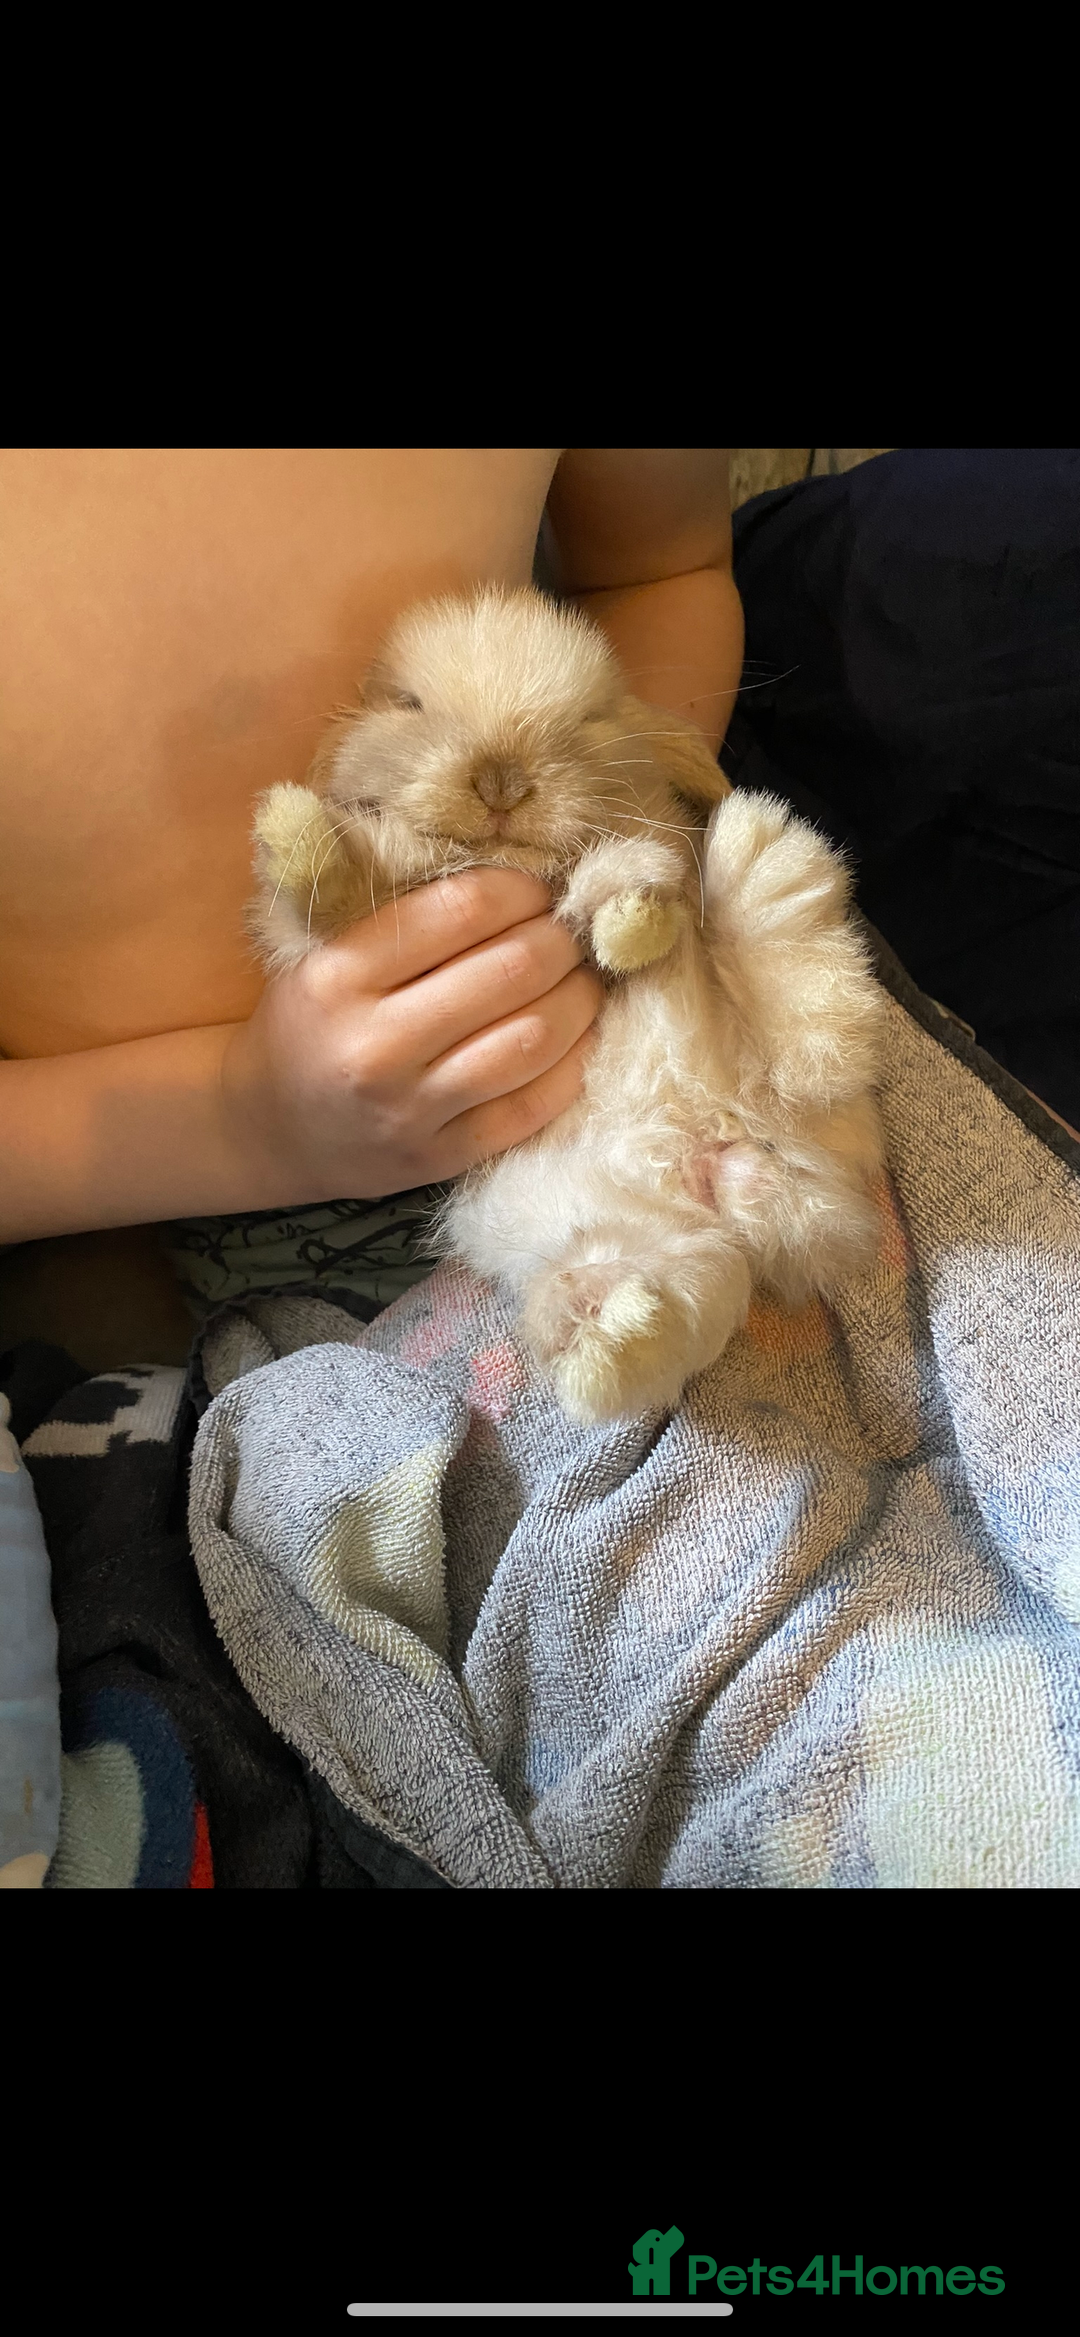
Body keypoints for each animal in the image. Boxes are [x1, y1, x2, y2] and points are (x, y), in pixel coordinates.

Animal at [248, 584, 884, 1423]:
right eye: (409, 704)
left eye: (591, 719)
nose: (500, 781)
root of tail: (725, 1134)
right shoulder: (345, 914)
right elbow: (340, 894)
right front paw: (295, 833)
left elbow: (612, 881)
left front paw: (634, 925)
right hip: (669, 1244)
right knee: (656, 1309)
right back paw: (616, 1326)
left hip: (774, 1082)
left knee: (808, 1047)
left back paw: (767, 859)